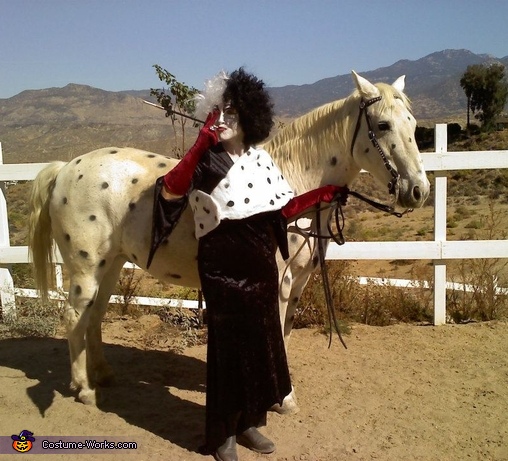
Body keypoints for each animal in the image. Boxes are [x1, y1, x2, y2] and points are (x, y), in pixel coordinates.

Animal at [28, 71, 428, 410]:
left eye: (413, 124)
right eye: (383, 125)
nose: (418, 190)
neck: (291, 186)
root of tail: (66, 168)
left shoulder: (298, 283)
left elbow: (285, 332)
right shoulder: (277, 282)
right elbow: (274, 334)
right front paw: (281, 399)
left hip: (111, 264)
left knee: (94, 315)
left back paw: (104, 375)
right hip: (85, 267)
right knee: (74, 315)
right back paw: (84, 389)